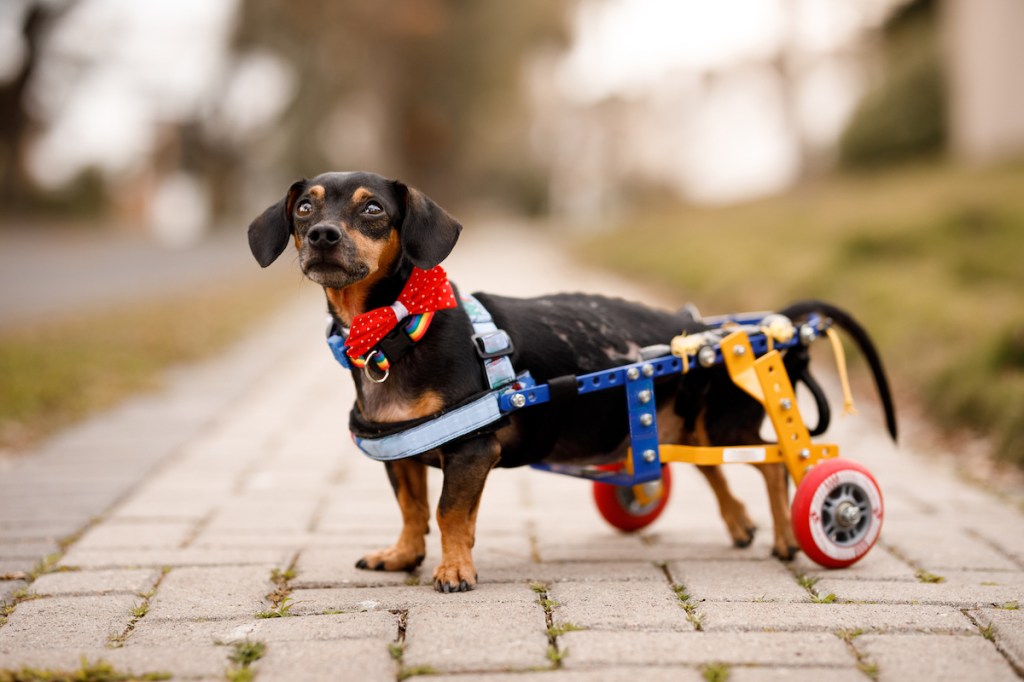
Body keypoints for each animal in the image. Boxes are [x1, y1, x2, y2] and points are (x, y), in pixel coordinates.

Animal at [247, 169, 897, 589]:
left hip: (726, 423)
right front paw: (403, 555)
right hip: (684, 427)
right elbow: (411, 510)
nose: (322, 236)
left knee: (775, 461)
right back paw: (740, 525)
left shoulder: (471, 452)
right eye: (305, 208)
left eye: (372, 209)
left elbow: (450, 513)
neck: (397, 327)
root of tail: (707, 328)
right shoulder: (401, 451)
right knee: (713, 470)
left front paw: (454, 569)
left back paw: (790, 536)